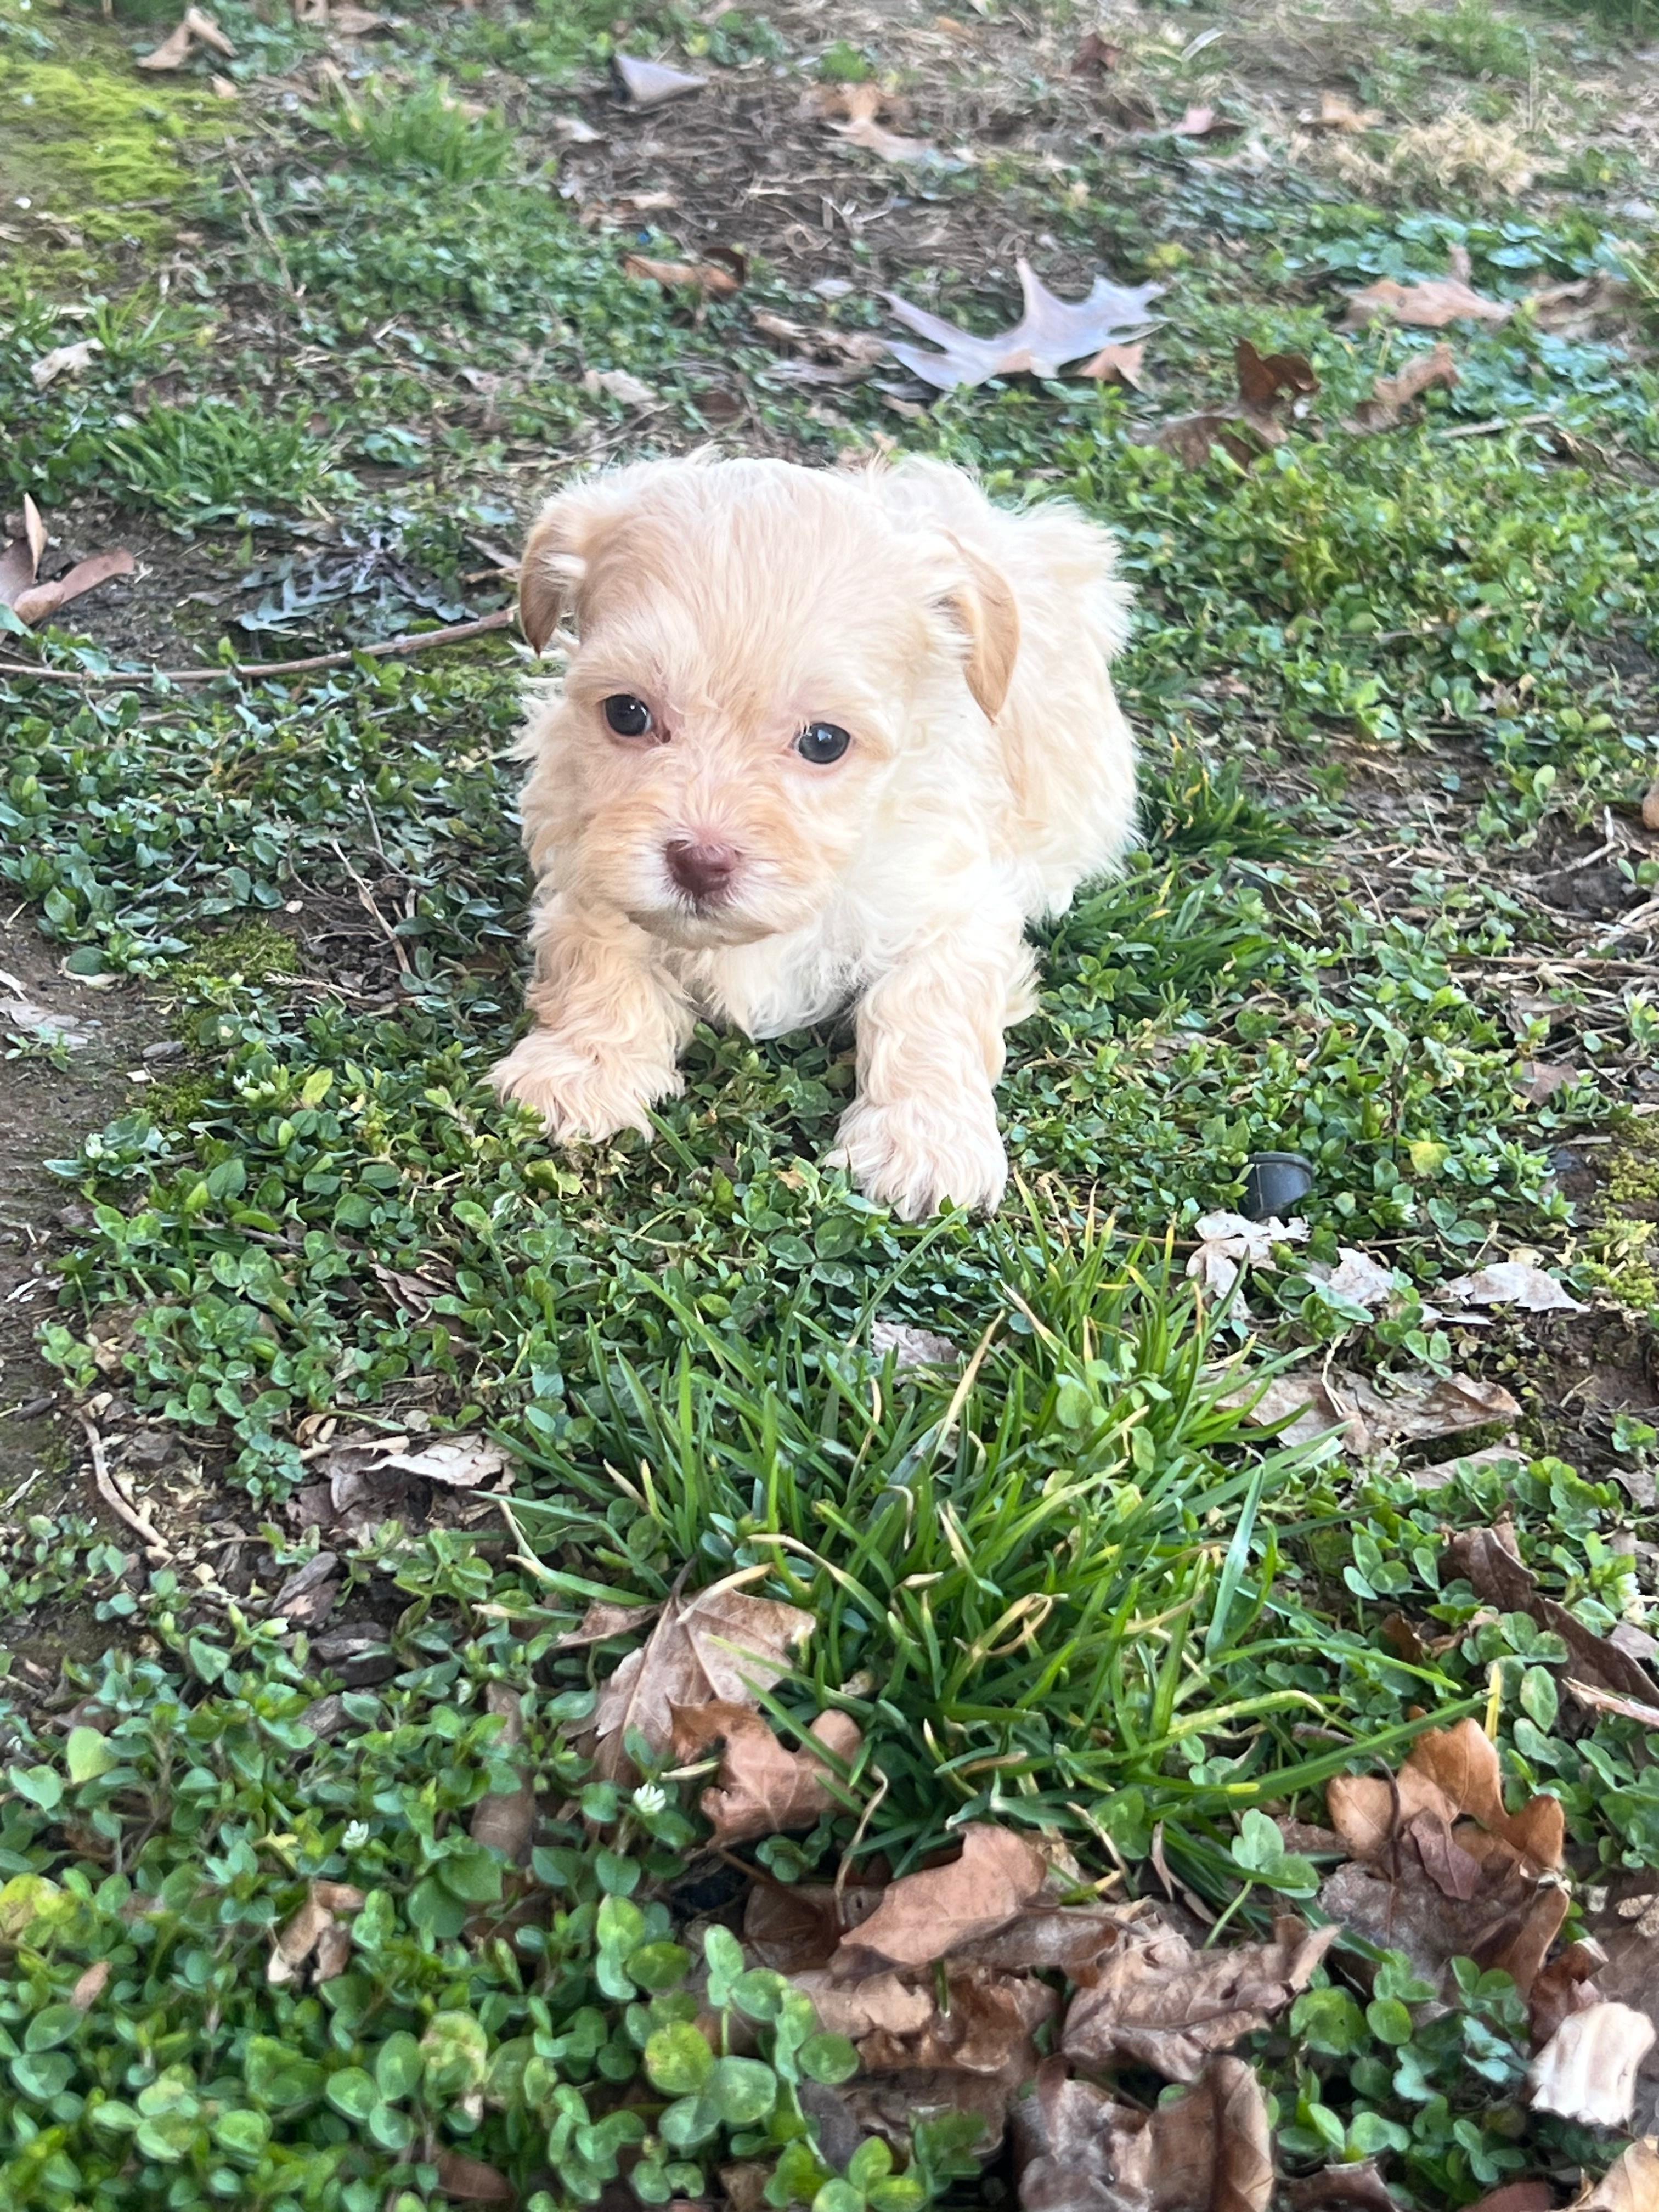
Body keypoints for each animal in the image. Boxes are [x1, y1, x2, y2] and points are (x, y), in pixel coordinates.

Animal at [492, 452, 1136, 1219]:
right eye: (626, 712)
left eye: (825, 742)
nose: (700, 862)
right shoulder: (585, 857)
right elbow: (596, 958)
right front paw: (581, 1071)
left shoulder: (952, 901)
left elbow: (927, 1004)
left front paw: (923, 1143)